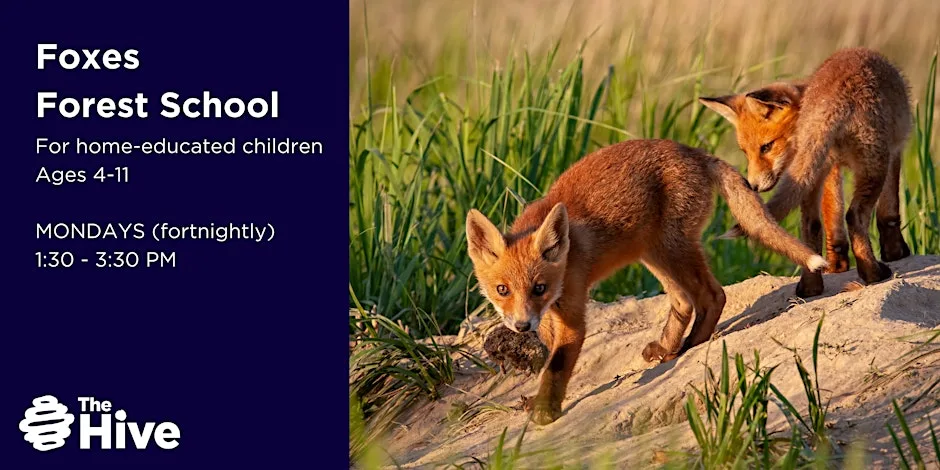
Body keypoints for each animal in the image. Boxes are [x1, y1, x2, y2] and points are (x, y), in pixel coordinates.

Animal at [465, 139, 827, 425]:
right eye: (502, 290)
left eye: (538, 288)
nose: (521, 326)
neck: (568, 254)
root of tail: (691, 150)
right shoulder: (553, 313)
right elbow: (549, 357)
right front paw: (536, 401)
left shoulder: (572, 312)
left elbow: (557, 365)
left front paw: (545, 411)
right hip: (653, 254)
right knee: (683, 302)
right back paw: (667, 348)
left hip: (673, 249)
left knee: (713, 296)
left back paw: (689, 347)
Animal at [699, 47, 913, 297]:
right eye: (745, 152)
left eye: (766, 147)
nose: (752, 186)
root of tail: (834, 96)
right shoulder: (894, 149)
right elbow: (889, 212)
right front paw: (895, 252)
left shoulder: (829, 169)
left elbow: (832, 224)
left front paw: (836, 266)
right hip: (873, 165)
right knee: (854, 215)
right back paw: (873, 274)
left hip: (814, 173)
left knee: (811, 225)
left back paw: (811, 287)